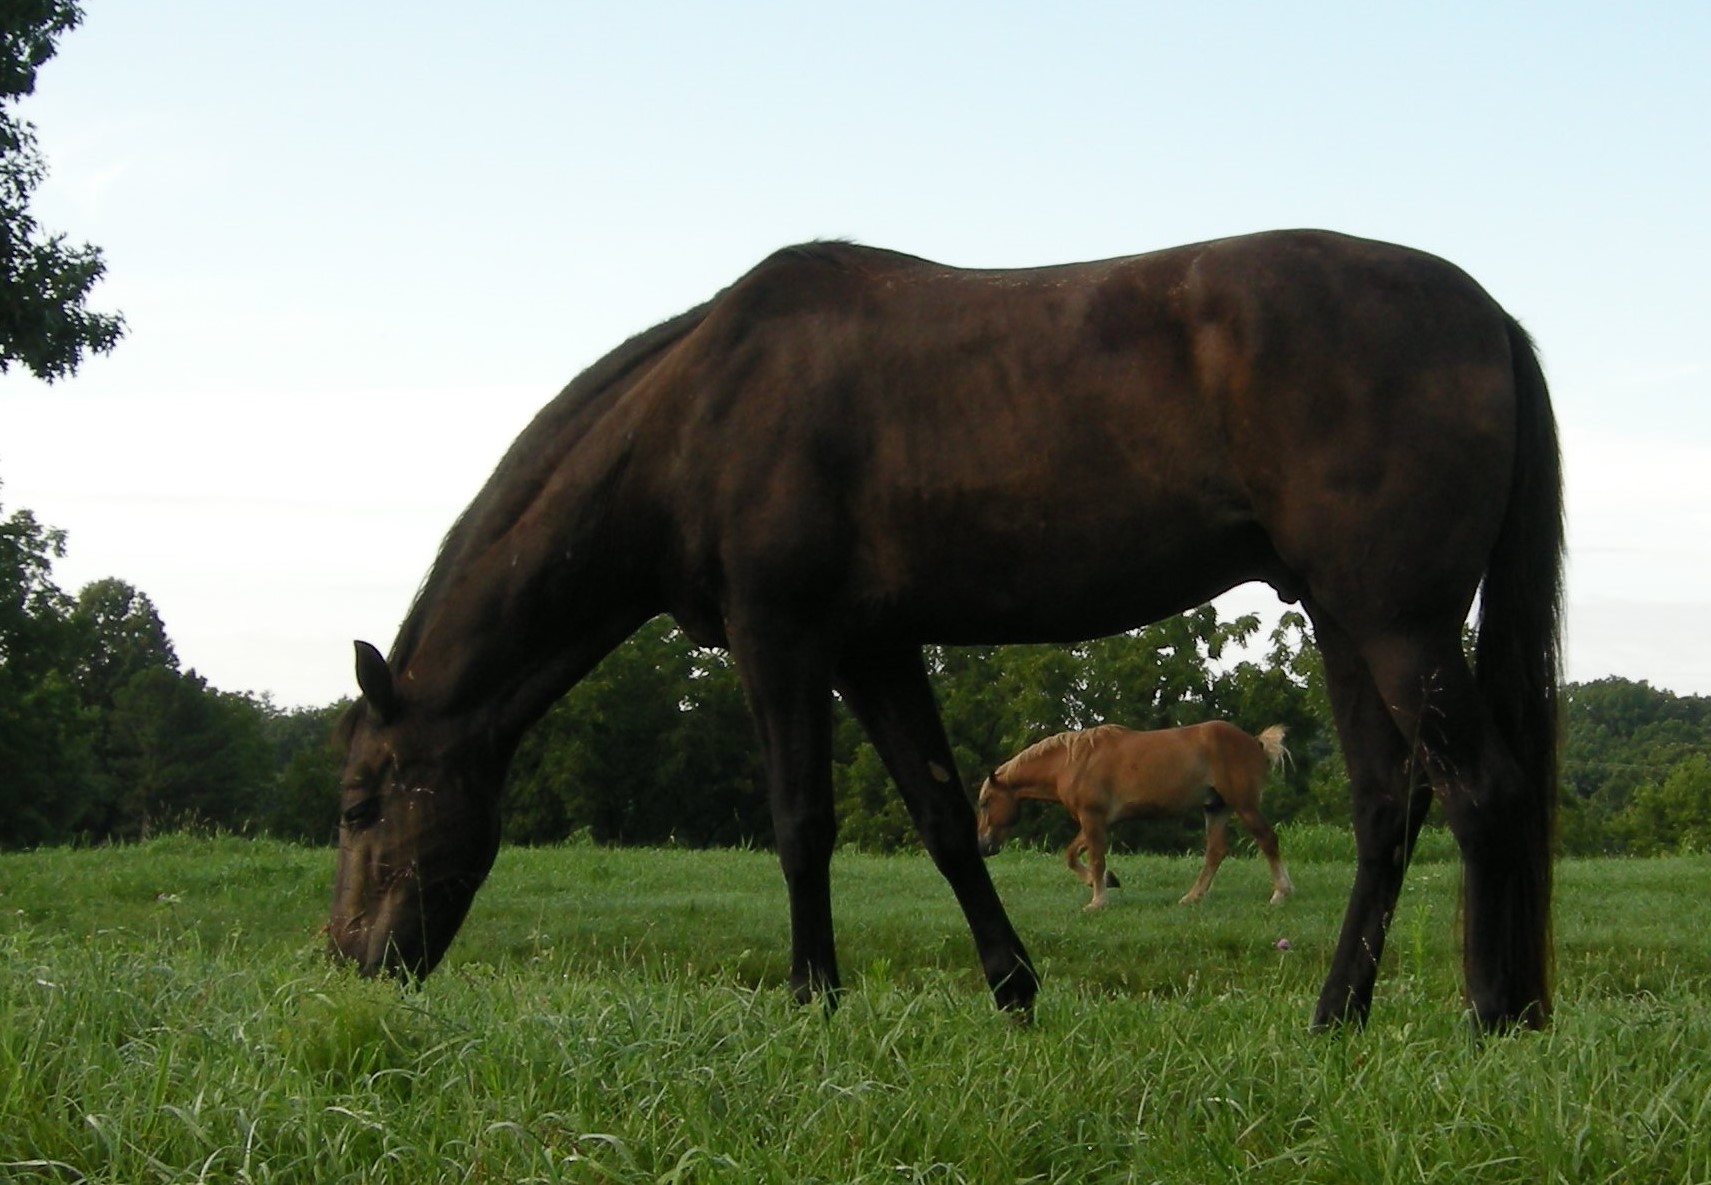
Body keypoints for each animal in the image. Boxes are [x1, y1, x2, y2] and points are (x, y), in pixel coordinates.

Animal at [977, 722, 1293, 909]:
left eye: (984, 802)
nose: (983, 845)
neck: (1073, 762)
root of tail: (1255, 742)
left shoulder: (1092, 818)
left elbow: (1095, 858)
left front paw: (1098, 900)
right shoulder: (1096, 821)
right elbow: (1072, 855)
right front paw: (1105, 881)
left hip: (1244, 805)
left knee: (1267, 840)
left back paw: (1281, 892)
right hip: (1216, 808)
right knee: (1216, 851)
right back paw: (1193, 896)